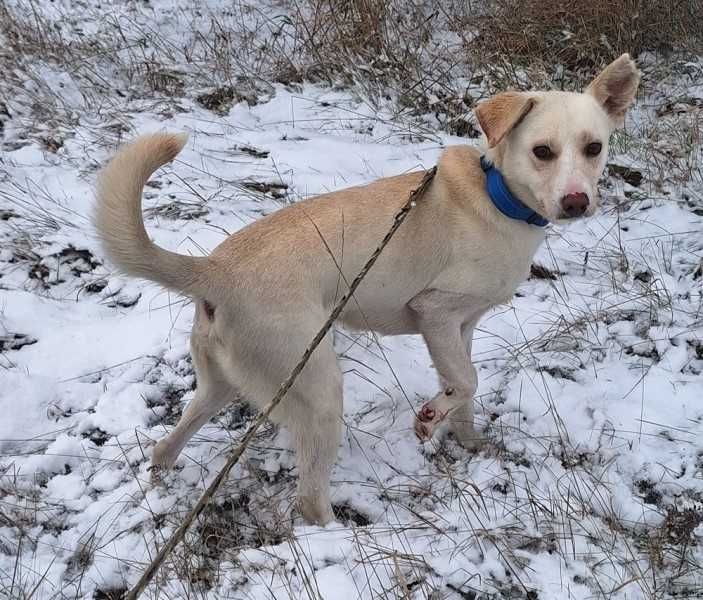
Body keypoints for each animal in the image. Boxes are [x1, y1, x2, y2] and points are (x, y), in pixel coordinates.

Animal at [96, 56, 640, 524]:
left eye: (594, 148)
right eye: (542, 151)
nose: (577, 202)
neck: (497, 197)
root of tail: (214, 268)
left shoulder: (462, 327)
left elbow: (465, 388)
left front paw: (469, 443)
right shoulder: (435, 312)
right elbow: (466, 383)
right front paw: (430, 418)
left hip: (222, 385)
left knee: (167, 443)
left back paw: (161, 476)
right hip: (318, 391)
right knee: (309, 501)